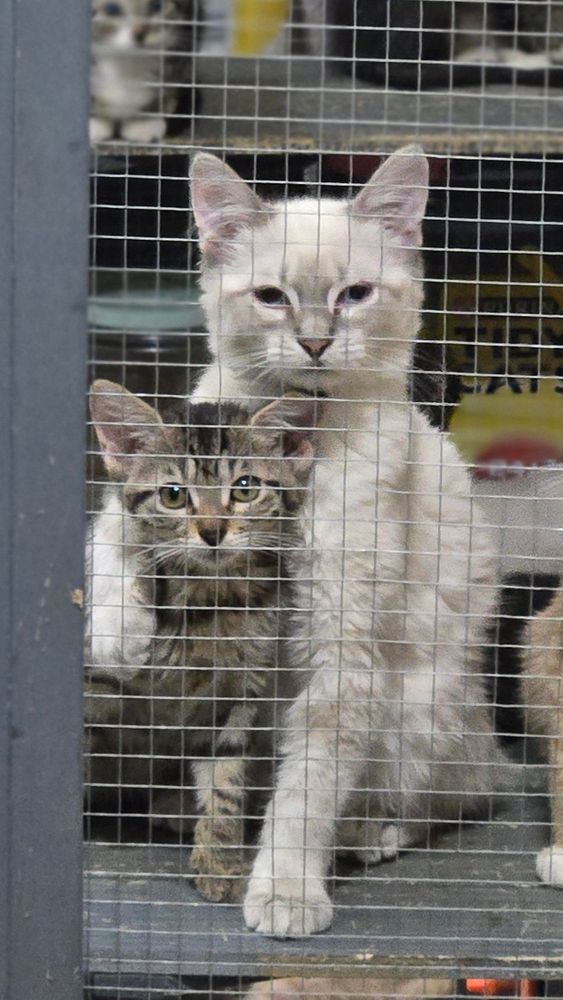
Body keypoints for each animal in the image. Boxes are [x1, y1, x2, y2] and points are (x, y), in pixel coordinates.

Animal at [85, 379, 315, 901]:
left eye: (245, 488)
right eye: (173, 495)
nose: (213, 531)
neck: (209, 605)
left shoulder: (237, 691)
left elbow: (224, 777)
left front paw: (220, 858)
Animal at [90, 0, 197, 143]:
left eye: (157, 5)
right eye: (112, 9)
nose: (140, 32)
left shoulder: (181, 58)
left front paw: (144, 122)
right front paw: (95, 122)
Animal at [189, 147, 508, 935]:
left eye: (354, 294)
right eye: (271, 296)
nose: (314, 342)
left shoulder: (342, 649)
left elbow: (305, 792)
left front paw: (283, 892)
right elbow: (220, 771)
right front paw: (217, 858)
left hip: (419, 703)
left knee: (442, 801)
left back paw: (366, 834)